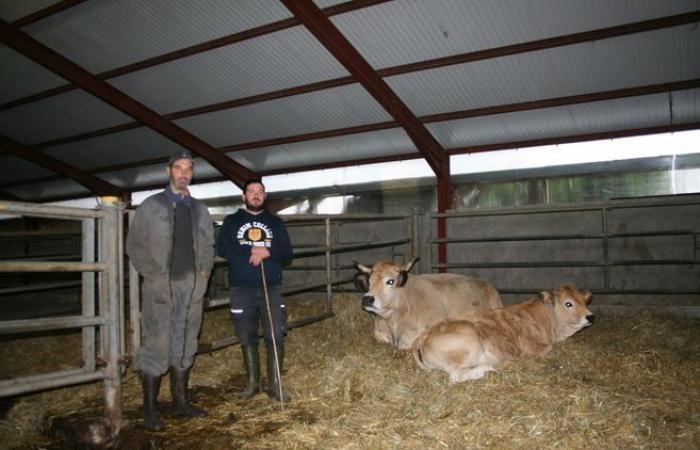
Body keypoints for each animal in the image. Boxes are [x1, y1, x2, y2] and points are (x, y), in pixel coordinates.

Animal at [412, 284, 592, 384]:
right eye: (568, 304)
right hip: (469, 342)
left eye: (585, 302)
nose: (590, 316)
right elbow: (549, 348)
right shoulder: (530, 347)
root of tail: (424, 336)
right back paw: (486, 369)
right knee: (455, 376)